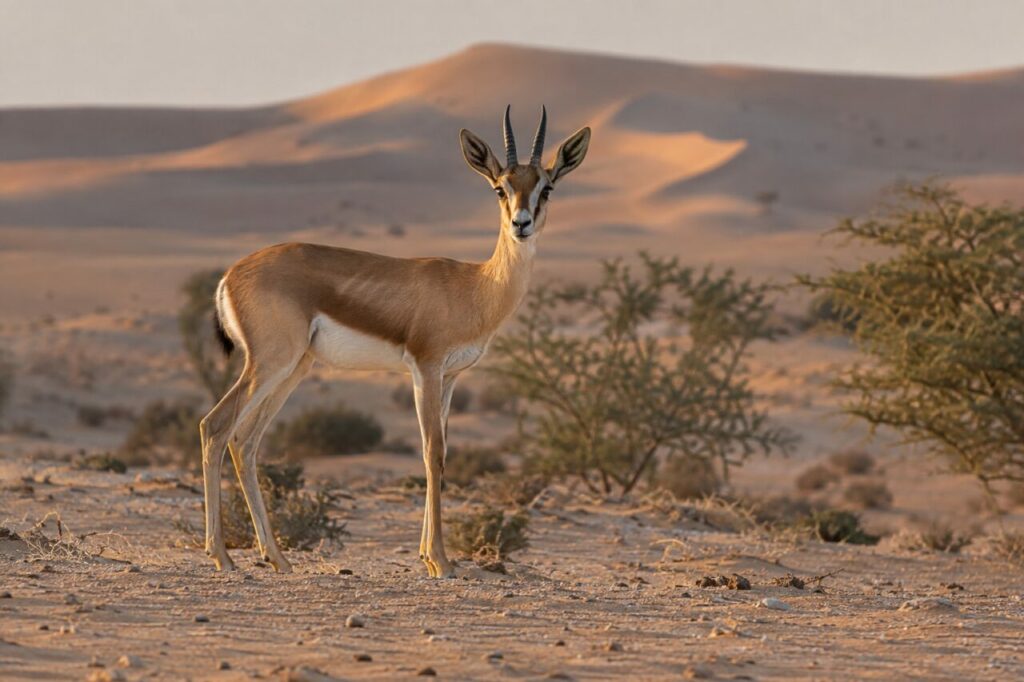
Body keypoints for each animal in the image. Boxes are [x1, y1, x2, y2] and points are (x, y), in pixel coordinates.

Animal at [200, 106, 590, 577]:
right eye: (501, 188)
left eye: (546, 188)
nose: (521, 224)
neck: (475, 287)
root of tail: (231, 274)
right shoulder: (425, 367)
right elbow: (432, 450)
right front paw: (440, 560)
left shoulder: (450, 377)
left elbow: (439, 451)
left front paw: (427, 556)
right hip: (272, 363)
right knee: (215, 427)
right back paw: (222, 556)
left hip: (294, 368)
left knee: (245, 441)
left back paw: (276, 557)